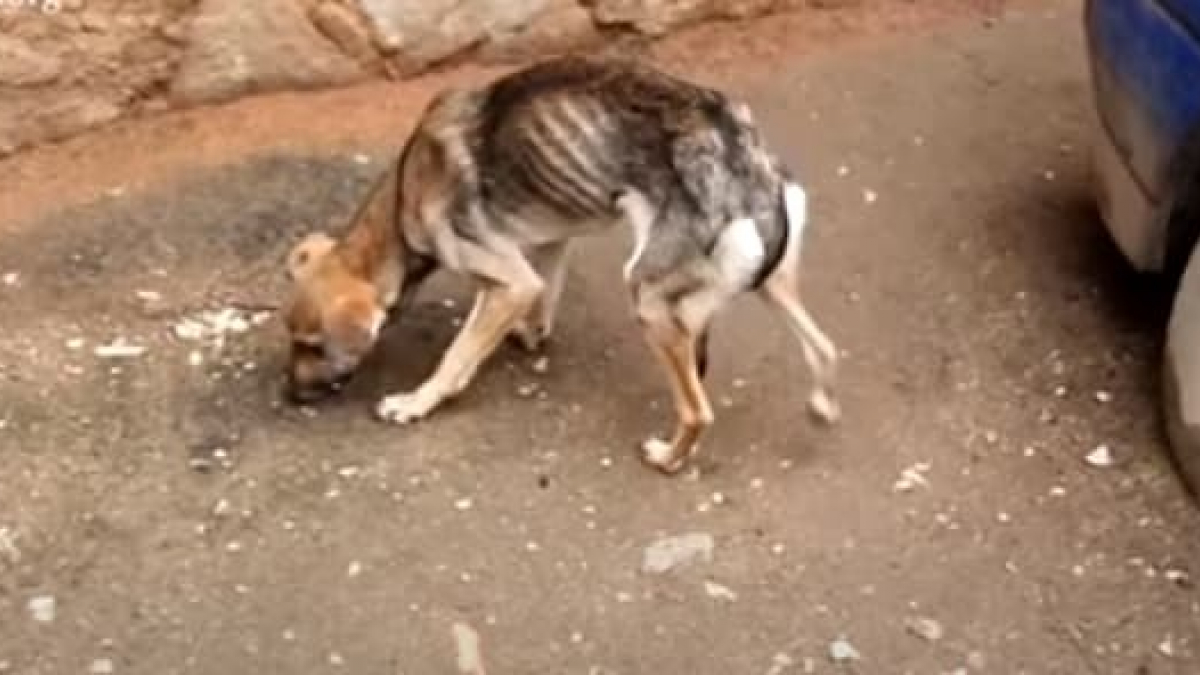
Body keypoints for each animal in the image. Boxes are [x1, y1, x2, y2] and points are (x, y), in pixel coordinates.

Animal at [284, 56, 840, 473]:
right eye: (293, 343)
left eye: (313, 346)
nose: (287, 396)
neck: (404, 196)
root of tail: (740, 151)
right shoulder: (546, 252)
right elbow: (541, 301)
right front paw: (529, 335)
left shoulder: (508, 281)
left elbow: (455, 357)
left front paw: (416, 403)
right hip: (773, 284)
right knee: (825, 349)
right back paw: (822, 406)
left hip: (649, 300)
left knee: (698, 411)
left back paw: (668, 457)